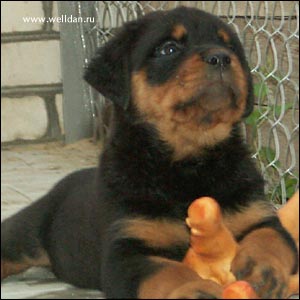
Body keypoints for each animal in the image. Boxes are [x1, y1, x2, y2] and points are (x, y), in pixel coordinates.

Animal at [1, 5, 298, 298]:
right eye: (168, 48)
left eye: (229, 46)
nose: (221, 58)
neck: (189, 160)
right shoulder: (126, 249)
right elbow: (167, 271)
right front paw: (196, 288)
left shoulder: (256, 214)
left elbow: (271, 238)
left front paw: (262, 268)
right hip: (27, 232)